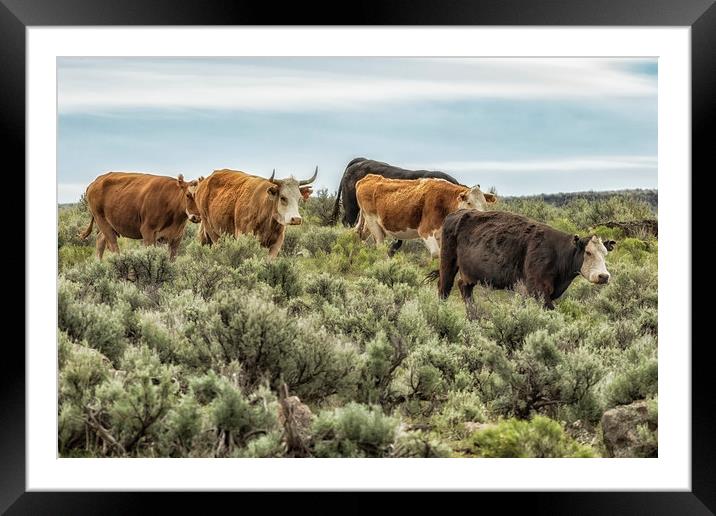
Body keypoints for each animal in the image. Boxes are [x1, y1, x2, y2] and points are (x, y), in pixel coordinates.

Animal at [354, 175, 498, 258]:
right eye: (469, 203)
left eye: (485, 204)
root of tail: (369, 177)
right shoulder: (425, 231)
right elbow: (436, 254)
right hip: (373, 223)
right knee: (380, 246)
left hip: (369, 224)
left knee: (361, 236)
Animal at [434, 209, 620, 314]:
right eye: (588, 252)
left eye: (605, 254)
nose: (603, 276)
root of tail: (456, 213)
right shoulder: (537, 289)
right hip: (447, 262)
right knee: (444, 288)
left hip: (469, 275)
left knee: (464, 288)